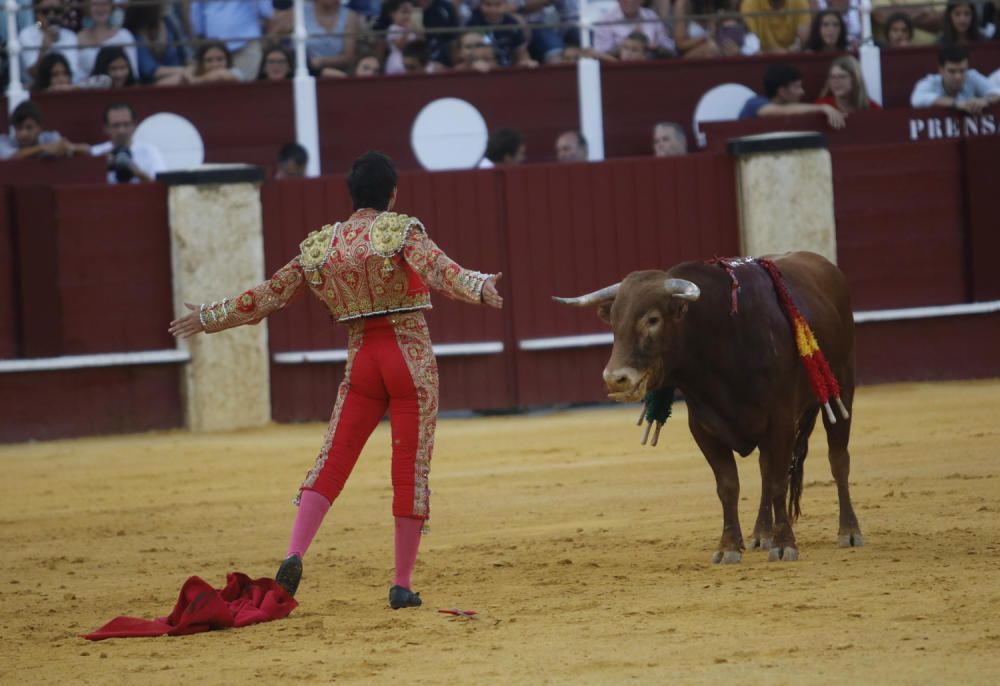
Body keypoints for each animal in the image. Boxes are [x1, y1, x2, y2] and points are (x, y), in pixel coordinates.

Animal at [556, 253, 860, 564]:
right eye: (614, 320)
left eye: (653, 319)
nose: (615, 378)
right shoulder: (704, 428)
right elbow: (728, 485)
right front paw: (729, 547)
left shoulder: (781, 421)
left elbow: (778, 481)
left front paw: (785, 545)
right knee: (766, 469)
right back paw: (761, 534)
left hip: (843, 387)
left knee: (838, 459)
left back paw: (848, 531)